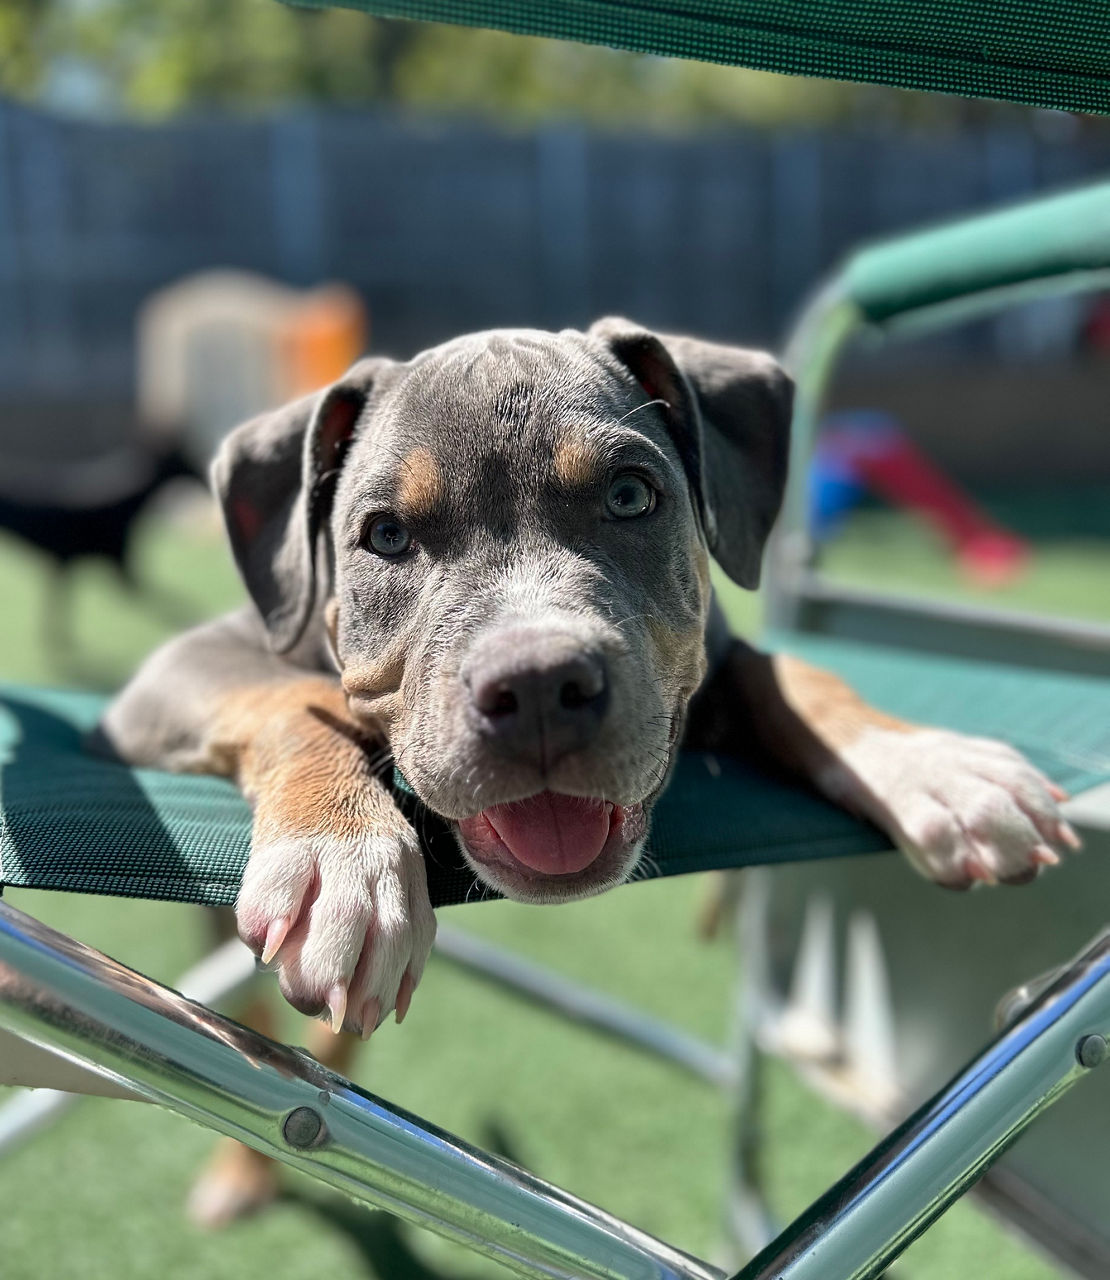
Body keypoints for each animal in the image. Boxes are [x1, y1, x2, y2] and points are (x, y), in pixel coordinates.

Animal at [97, 317, 1075, 1039]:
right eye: (385, 535)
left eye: (632, 495)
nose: (537, 686)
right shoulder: (175, 671)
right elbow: (295, 700)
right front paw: (343, 859)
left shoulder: (723, 656)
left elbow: (799, 679)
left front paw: (936, 769)